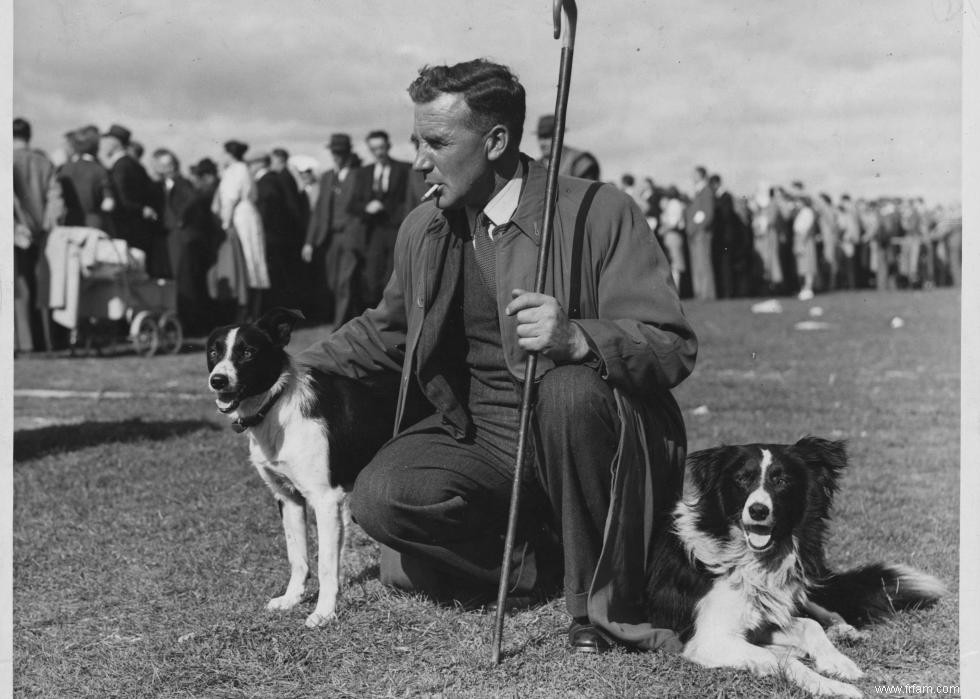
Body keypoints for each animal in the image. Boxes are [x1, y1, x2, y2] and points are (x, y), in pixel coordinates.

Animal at [208, 308, 398, 628]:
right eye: (213, 351)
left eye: (248, 352)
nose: (217, 380)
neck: (276, 407)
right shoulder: (288, 498)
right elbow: (297, 557)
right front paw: (291, 599)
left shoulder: (326, 499)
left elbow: (325, 566)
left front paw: (324, 612)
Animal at [648, 440, 944, 696]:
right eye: (742, 479)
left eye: (781, 481)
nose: (758, 511)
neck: (753, 558)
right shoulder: (708, 640)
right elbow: (783, 657)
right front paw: (832, 686)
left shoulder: (763, 617)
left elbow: (809, 625)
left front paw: (838, 662)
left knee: (817, 610)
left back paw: (845, 631)